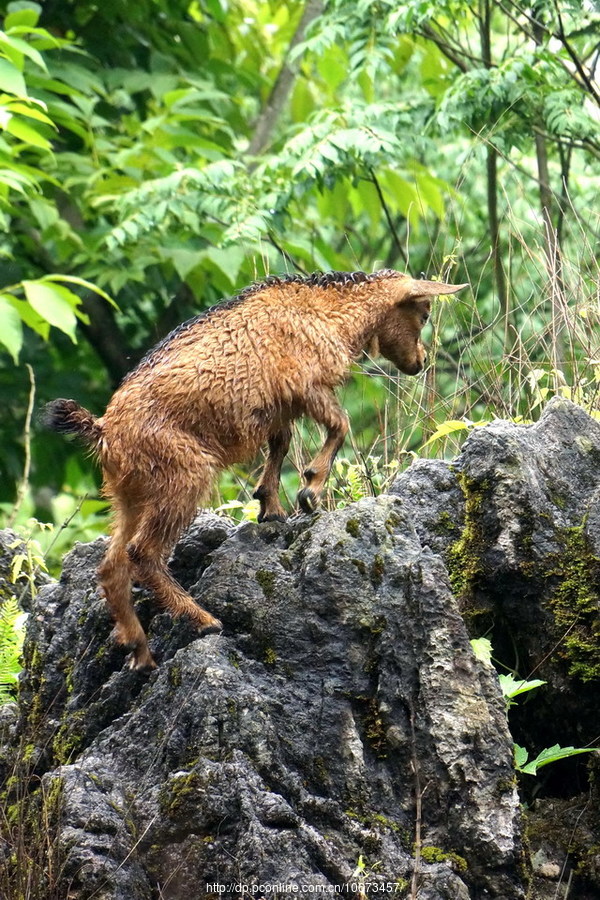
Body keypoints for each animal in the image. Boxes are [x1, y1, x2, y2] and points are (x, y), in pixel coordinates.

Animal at [45, 268, 468, 668]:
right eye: (424, 312)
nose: (420, 361)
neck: (327, 311)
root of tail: (103, 430)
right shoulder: (307, 385)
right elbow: (339, 425)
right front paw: (310, 491)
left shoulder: (280, 406)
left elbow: (281, 444)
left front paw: (271, 509)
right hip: (183, 475)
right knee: (142, 553)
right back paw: (203, 620)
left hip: (129, 493)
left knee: (111, 566)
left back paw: (140, 649)